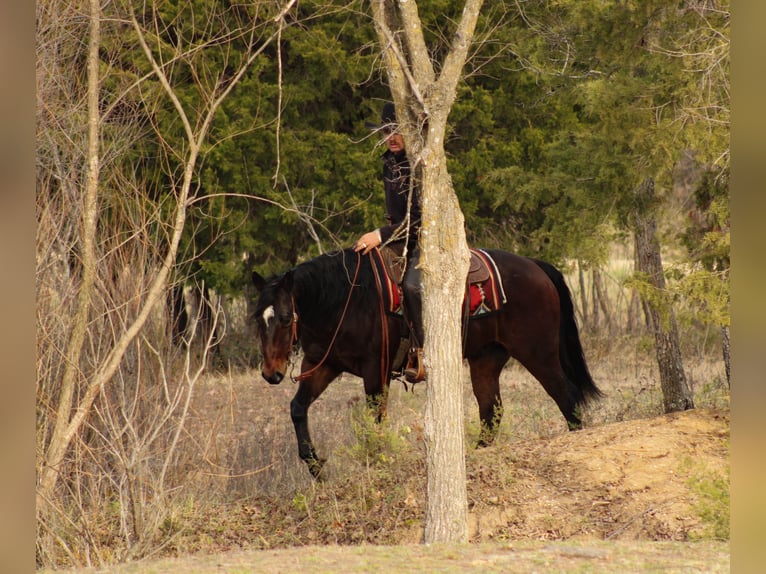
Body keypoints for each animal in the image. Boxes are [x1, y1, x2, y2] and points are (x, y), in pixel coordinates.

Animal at [251, 247, 601, 478]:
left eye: (285, 318)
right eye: (258, 318)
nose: (271, 374)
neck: (347, 300)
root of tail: (536, 267)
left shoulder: (375, 371)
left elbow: (375, 421)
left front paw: (375, 463)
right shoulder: (324, 364)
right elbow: (298, 408)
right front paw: (315, 466)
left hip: (538, 353)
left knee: (566, 397)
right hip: (486, 358)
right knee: (491, 412)